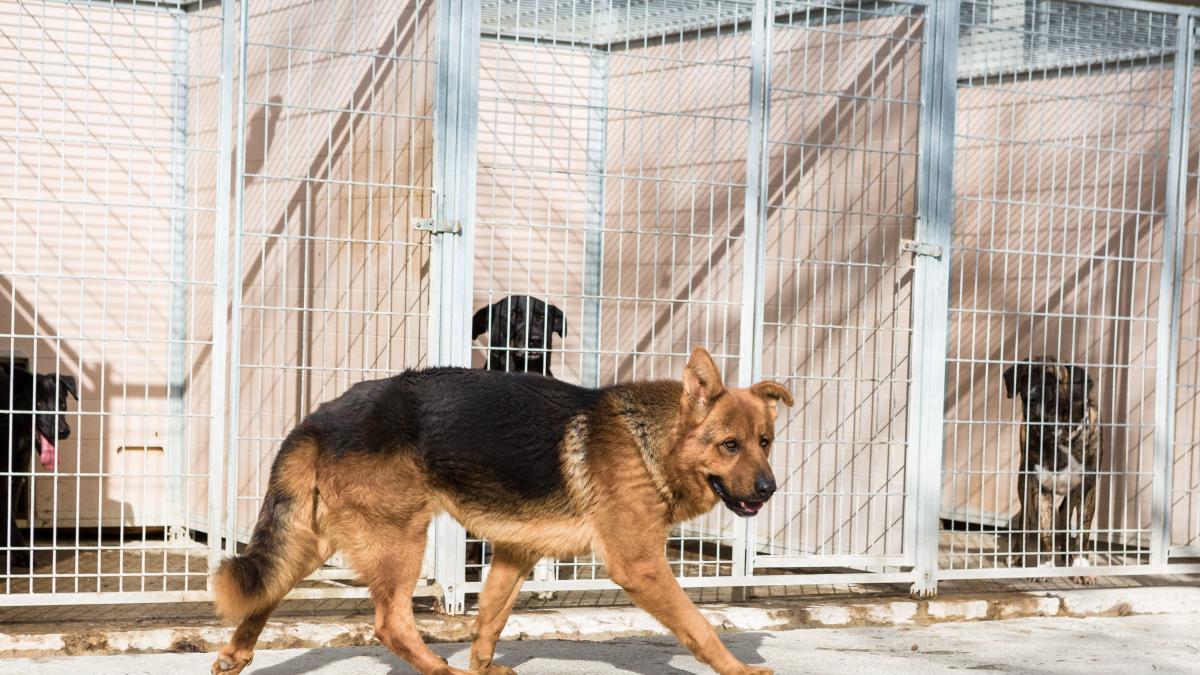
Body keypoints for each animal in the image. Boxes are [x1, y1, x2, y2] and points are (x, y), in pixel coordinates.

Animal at [211, 345, 792, 672]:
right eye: (730, 446)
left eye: (765, 442)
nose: (769, 489)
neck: (652, 440)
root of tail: (321, 418)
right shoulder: (640, 565)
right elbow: (698, 625)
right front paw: (739, 671)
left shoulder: (517, 552)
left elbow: (489, 619)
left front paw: (484, 666)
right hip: (400, 540)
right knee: (391, 624)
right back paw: (442, 673)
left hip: (315, 540)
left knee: (265, 591)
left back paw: (237, 654)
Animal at [998, 355, 1099, 581]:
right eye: (1024, 378)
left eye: (1052, 379)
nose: (1030, 398)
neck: (1060, 435)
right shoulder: (1041, 489)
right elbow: (1044, 532)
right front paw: (1044, 565)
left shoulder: (1086, 488)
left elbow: (1083, 531)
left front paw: (1081, 565)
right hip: (1023, 482)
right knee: (1025, 521)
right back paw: (1018, 555)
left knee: (1063, 517)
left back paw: (1067, 553)